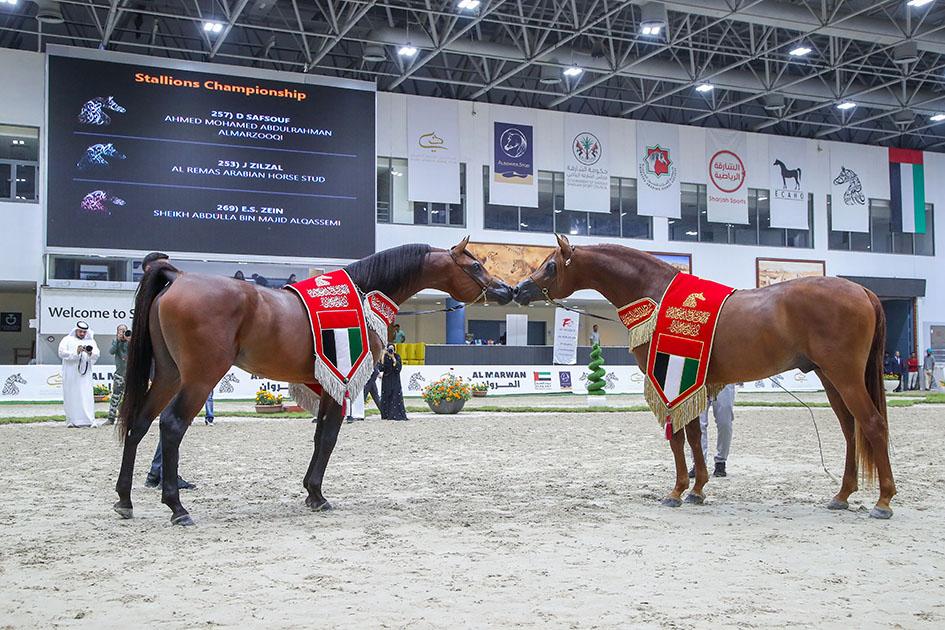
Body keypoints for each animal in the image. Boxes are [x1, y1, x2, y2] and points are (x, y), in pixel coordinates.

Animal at [114, 239, 512, 526]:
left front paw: (310, 492)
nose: (506, 290)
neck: (364, 293)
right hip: (198, 378)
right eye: (475, 265)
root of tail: (179, 277)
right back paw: (177, 507)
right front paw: (318, 495)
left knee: (139, 424)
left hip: (168, 375)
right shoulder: (341, 377)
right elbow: (329, 437)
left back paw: (124, 499)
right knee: (171, 425)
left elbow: (320, 435)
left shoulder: (326, 383)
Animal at [512, 234, 895, 519]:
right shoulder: (688, 383)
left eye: (550, 266)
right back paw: (842, 495)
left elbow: (678, 438)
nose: (518, 290)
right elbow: (695, 435)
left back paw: (883, 501)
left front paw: (677, 490)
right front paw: (696, 489)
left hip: (845, 377)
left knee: (872, 424)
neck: (656, 293)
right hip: (831, 379)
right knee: (850, 430)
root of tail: (862, 291)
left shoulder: (670, 380)